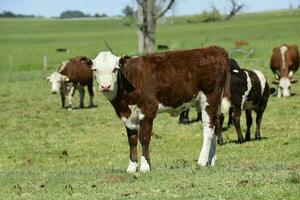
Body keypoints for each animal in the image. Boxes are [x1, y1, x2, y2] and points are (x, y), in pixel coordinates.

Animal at [92, 46, 232, 173]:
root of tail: (215, 49)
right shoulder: (128, 116)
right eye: (95, 70)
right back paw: (211, 161)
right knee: (215, 126)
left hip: (209, 99)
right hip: (206, 104)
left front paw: (145, 167)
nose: (105, 86)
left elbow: (144, 138)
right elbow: (132, 140)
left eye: (115, 69)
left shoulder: (148, 110)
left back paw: (202, 161)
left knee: (208, 129)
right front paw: (131, 168)